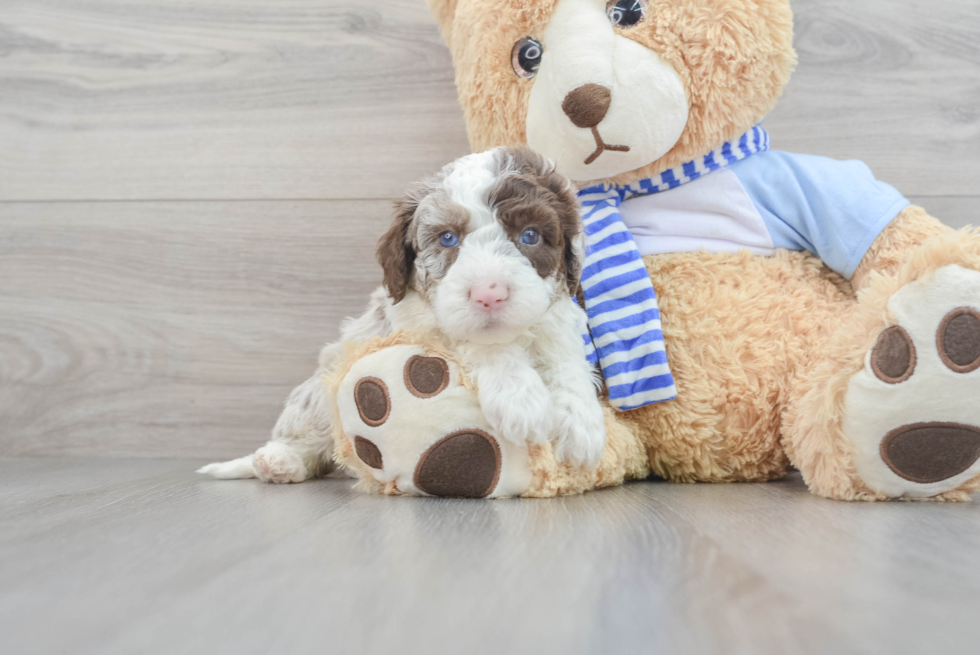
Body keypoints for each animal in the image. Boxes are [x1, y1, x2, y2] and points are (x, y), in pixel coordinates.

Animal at [201, 146, 604, 484]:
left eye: (530, 235)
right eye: (447, 238)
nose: (489, 294)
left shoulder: (557, 320)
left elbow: (566, 362)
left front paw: (581, 422)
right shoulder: (415, 325)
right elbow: (474, 341)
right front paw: (519, 397)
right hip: (322, 387)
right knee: (309, 431)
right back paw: (280, 460)